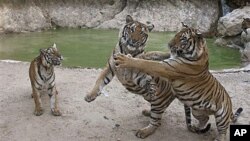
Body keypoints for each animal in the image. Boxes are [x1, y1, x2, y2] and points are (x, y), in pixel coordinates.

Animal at [114, 23, 243, 140]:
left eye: (183, 39)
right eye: (176, 34)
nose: (169, 44)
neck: (203, 52)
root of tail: (230, 103)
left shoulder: (167, 67)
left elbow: (146, 64)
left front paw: (125, 59)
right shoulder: (169, 59)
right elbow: (154, 54)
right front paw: (139, 54)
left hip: (221, 117)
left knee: (223, 132)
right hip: (197, 111)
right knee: (205, 119)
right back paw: (196, 127)